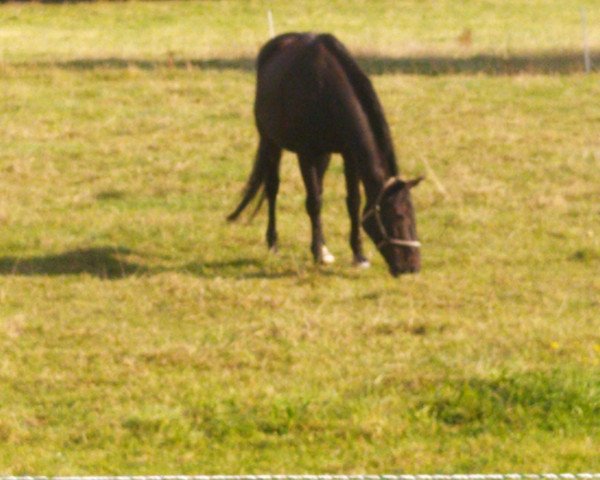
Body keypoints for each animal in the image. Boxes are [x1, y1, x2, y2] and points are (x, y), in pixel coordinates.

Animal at [229, 31, 422, 276]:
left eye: (413, 213)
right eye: (398, 215)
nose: (412, 266)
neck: (326, 89)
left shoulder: (348, 154)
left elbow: (353, 202)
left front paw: (358, 255)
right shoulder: (306, 154)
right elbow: (314, 202)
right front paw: (318, 254)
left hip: (324, 155)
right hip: (271, 142)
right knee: (273, 189)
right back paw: (273, 243)